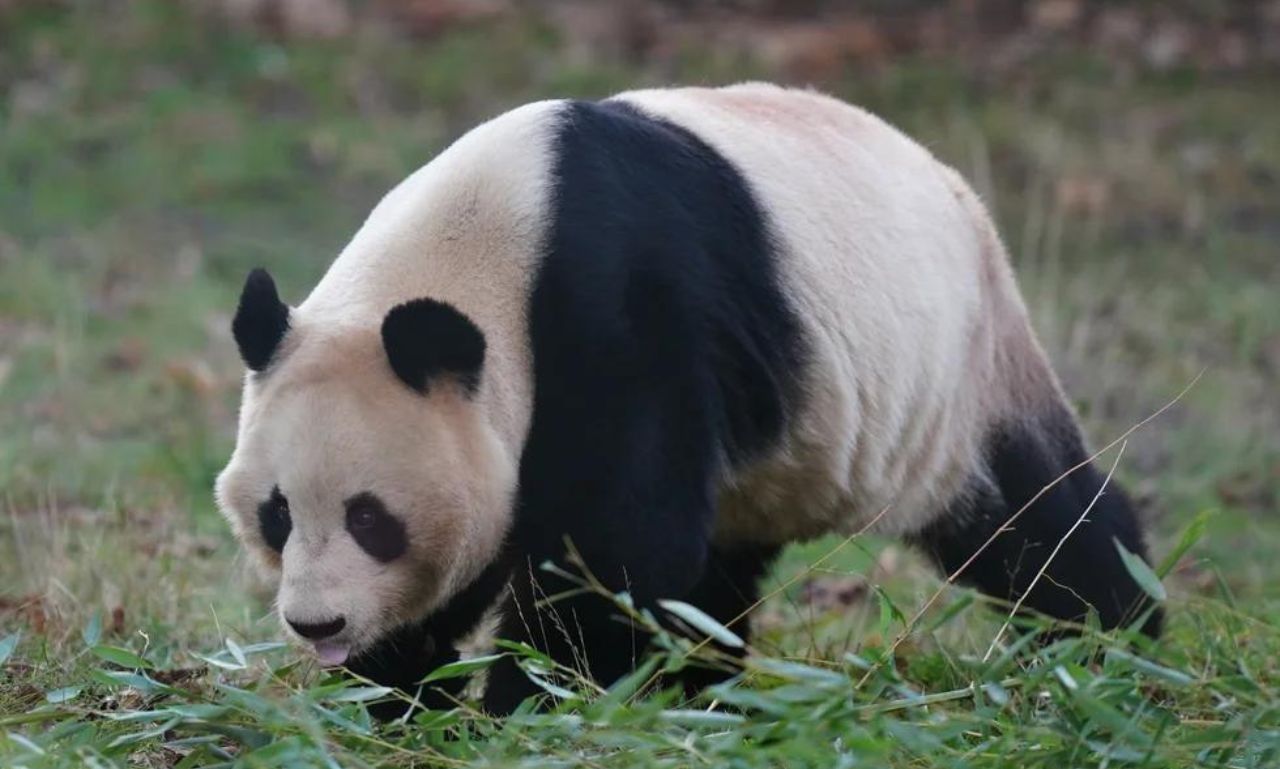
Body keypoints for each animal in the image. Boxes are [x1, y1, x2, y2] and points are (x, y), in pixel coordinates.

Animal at [217, 83, 1162, 711]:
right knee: (719, 569)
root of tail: (955, 188)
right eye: (277, 513)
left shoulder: (620, 311)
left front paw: (535, 703)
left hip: (955, 373)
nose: (315, 622)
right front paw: (398, 696)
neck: (490, 239)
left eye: (371, 517)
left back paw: (1115, 643)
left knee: (1037, 520)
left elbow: (615, 548)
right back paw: (705, 694)